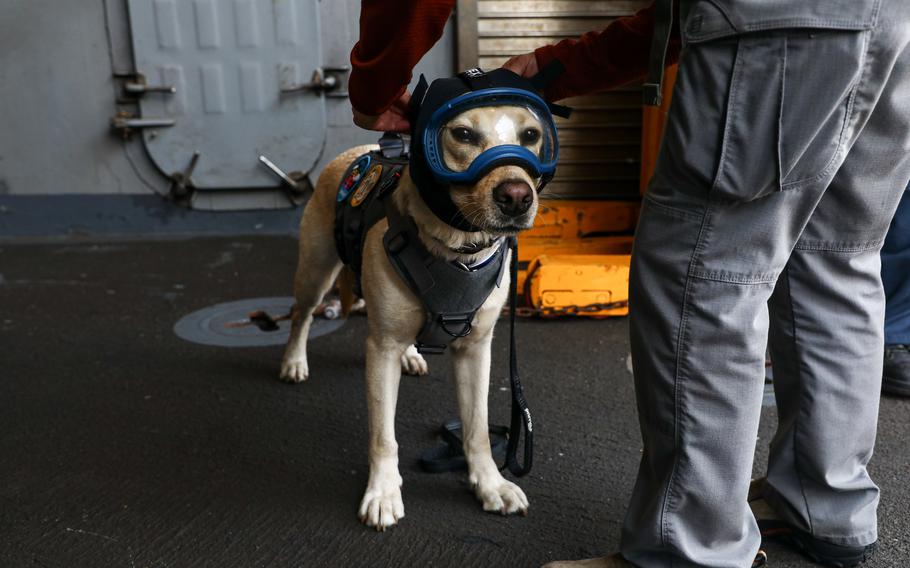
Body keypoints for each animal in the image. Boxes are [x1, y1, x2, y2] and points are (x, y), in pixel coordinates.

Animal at [282, 100, 544, 532]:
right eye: (463, 134)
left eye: (531, 135)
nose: (517, 197)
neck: (457, 249)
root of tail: (353, 153)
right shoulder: (381, 351)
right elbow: (383, 436)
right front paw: (383, 493)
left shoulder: (476, 351)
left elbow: (477, 430)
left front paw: (490, 484)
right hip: (314, 273)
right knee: (300, 315)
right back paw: (293, 361)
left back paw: (411, 356)